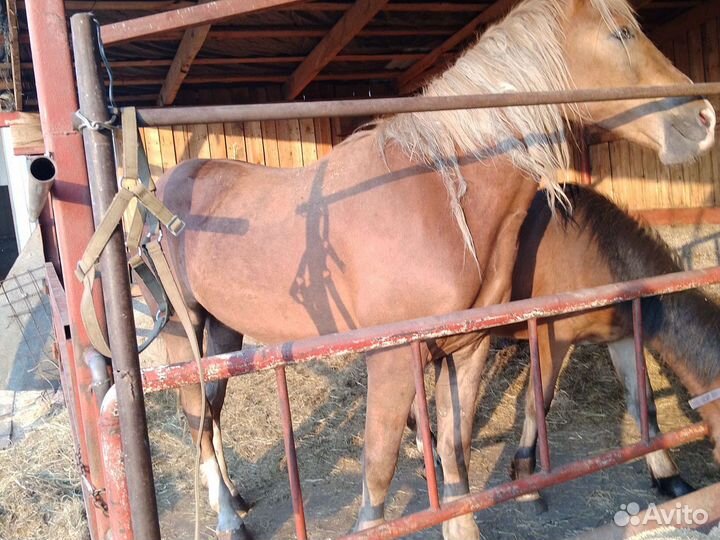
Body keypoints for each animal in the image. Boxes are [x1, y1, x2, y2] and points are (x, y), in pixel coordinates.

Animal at [154, 0, 716, 538]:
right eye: (622, 32)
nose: (704, 116)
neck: (439, 203)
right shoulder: (397, 358)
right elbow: (379, 468)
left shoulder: (469, 350)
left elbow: (456, 451)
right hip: (182, 333)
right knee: (195, 417)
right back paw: (229, 520)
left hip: (223, 331)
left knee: (211, 412)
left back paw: (236, 501)